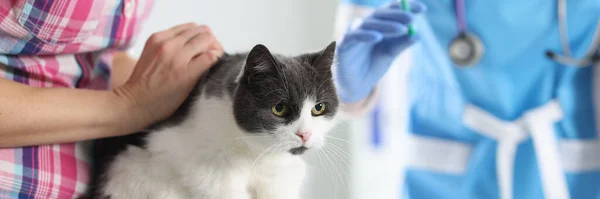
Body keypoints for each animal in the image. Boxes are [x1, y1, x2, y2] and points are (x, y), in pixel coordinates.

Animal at [82, 40, 340, 199]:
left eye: (318, 108)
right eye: (279, 108)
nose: (305, 134)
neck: (255, 154)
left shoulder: (279, 179)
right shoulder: (206, 169)